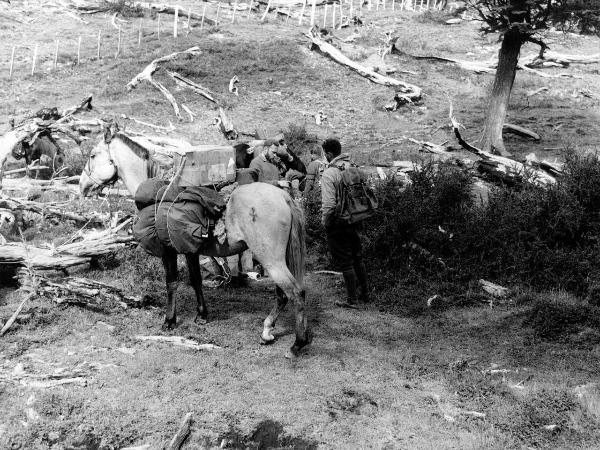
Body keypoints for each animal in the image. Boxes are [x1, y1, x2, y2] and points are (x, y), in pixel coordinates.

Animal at [80, 127, 312, 358]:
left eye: (93, 155)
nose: (82, 186)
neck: (158, 195)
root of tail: (283, 197)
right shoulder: (189, 249)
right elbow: (196, 280)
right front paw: (202, 315)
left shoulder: (168, 251)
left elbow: (172, 283)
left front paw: (169, 320)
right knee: (284, 295)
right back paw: (268, 332)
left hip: (271, 259)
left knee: (295, 293)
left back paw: (297, 344)